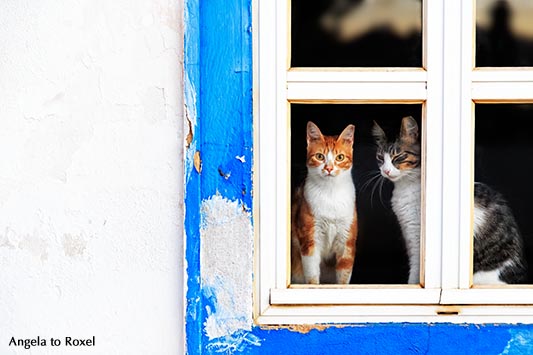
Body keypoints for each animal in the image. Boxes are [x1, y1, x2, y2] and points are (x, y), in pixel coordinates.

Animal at [290, 121, 358, 286]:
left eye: (340, 157)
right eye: (320, 156)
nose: (329, 168)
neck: (330, 193)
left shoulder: (346, 241)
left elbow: (344, 275)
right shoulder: (310, 239)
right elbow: (312, 274)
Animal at [372, 117, 524, 286]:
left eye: (398, 157)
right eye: (380, 158)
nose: (385, 171)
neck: (404, 187)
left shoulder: (417, 239)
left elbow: (415, 274)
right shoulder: (409, 235)